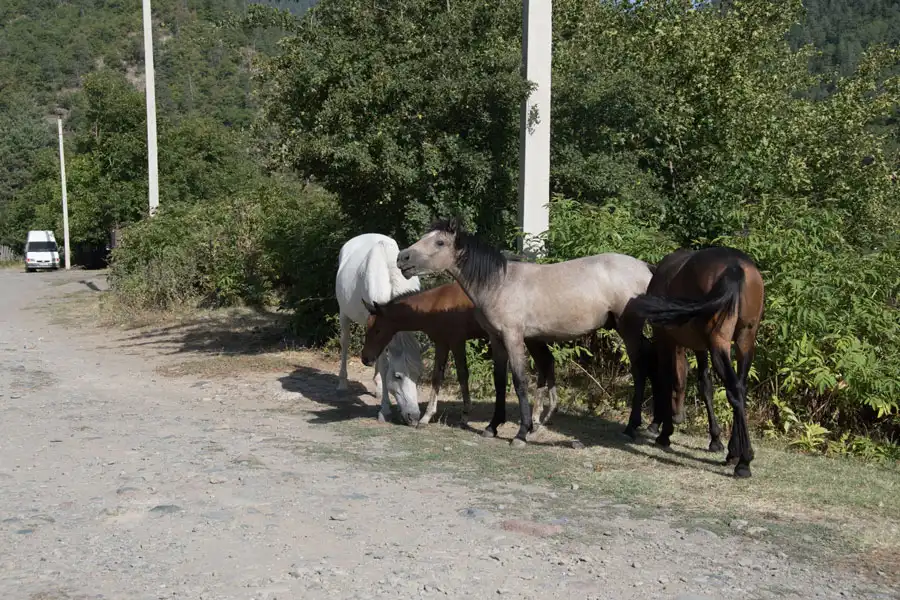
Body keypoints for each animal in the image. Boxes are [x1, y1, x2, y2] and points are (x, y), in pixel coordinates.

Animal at [335, 233, 425, 426]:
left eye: (418, 375)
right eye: (398, 376)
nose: (413, 417)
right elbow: (385, 367)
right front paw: (384, 410)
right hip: (344, 313)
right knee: (345, 343)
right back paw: (342, 384)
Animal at [359, 281, 556, 429]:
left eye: (377, 329)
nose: (365, 358)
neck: (436, 305)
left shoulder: (456, 341)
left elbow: (461, 375)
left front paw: (461, 415)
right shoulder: (442, 343)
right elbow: (437, 376)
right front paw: (428, 416)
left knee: (544, 363)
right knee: (546, 363)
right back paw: (538, 416)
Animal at [396, 219, 654, 446]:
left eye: (440, 242)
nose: (402, 257)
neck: (499, 283)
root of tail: (646, 267)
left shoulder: (514, 337)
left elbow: (520, 382)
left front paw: (521, 433)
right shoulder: (497, 339)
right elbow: (500, 381)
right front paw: (492, 426)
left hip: (629, 330)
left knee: (640, 371)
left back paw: (631, 427)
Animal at [628, 246, 765, 478]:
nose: (677, 418)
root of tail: (734, 266)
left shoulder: (666, 340)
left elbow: (667, 380)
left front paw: (663, 432)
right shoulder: (701, 347)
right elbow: (705, 385)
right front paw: (716, 439)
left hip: (719, 342)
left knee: (734, 389)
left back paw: (743, 462)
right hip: (745, 341)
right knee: (741, 388)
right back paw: (734, 453)